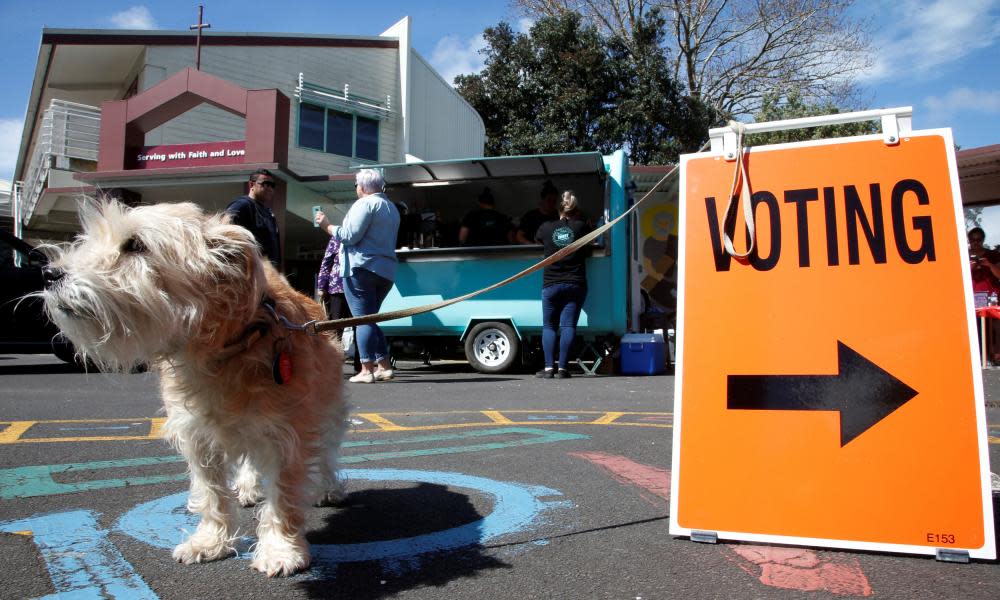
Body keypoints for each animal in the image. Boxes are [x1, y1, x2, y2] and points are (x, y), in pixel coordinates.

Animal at [41, 202, 348, 576]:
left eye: (135, 245)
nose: (50, 274)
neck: (219, 353)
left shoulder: (288, 432)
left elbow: (284, 493)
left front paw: (281, 549)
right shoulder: (198, 434)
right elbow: (211, 492)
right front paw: (211, 541)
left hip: (328, 408)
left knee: (328, 449)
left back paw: (328, 487)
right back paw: (248, 486)